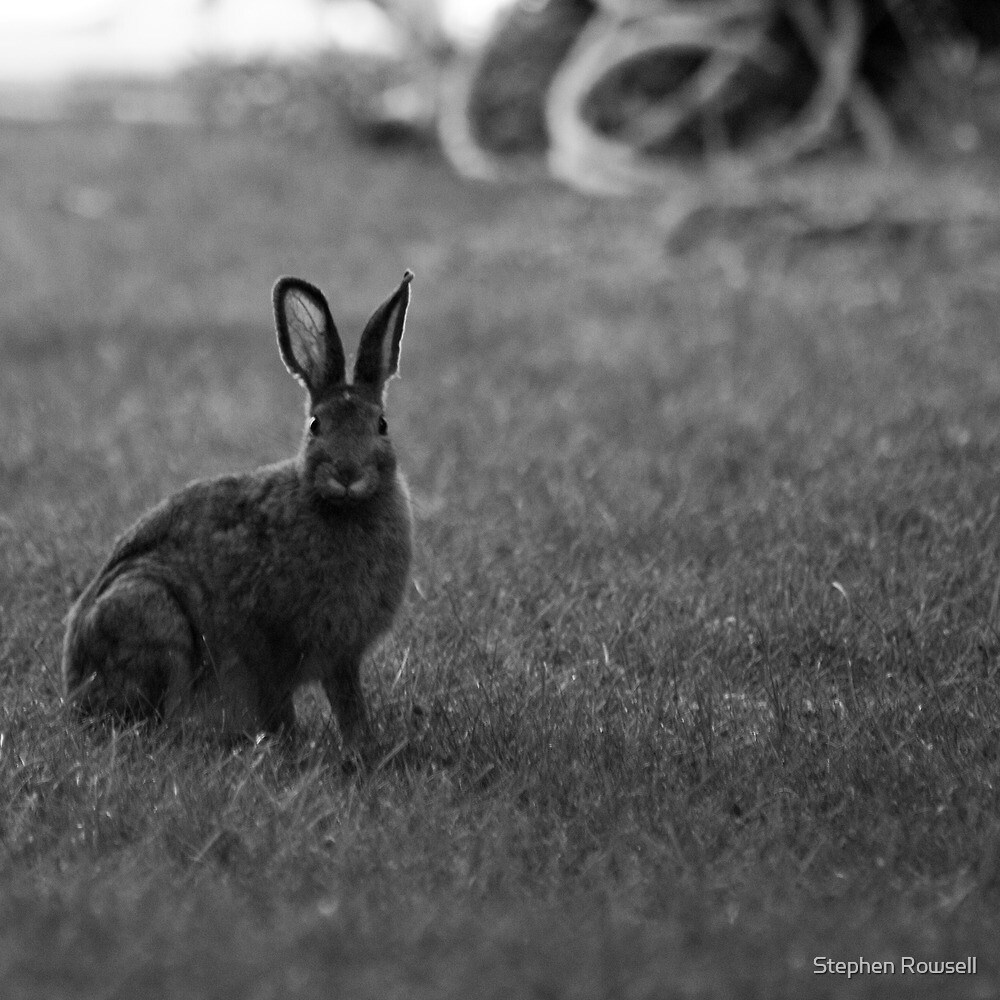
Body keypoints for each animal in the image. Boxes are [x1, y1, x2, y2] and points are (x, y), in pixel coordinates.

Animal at [62, 271, 415, 747]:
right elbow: (281, 700)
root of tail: (74, 689)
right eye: (315, 425)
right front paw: (296, 745)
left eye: (381, 424)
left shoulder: (341, 657)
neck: (341, 508)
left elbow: (348, 704)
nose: (347, 472)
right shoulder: (271, 643)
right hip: (151, 614)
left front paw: (365, 745)